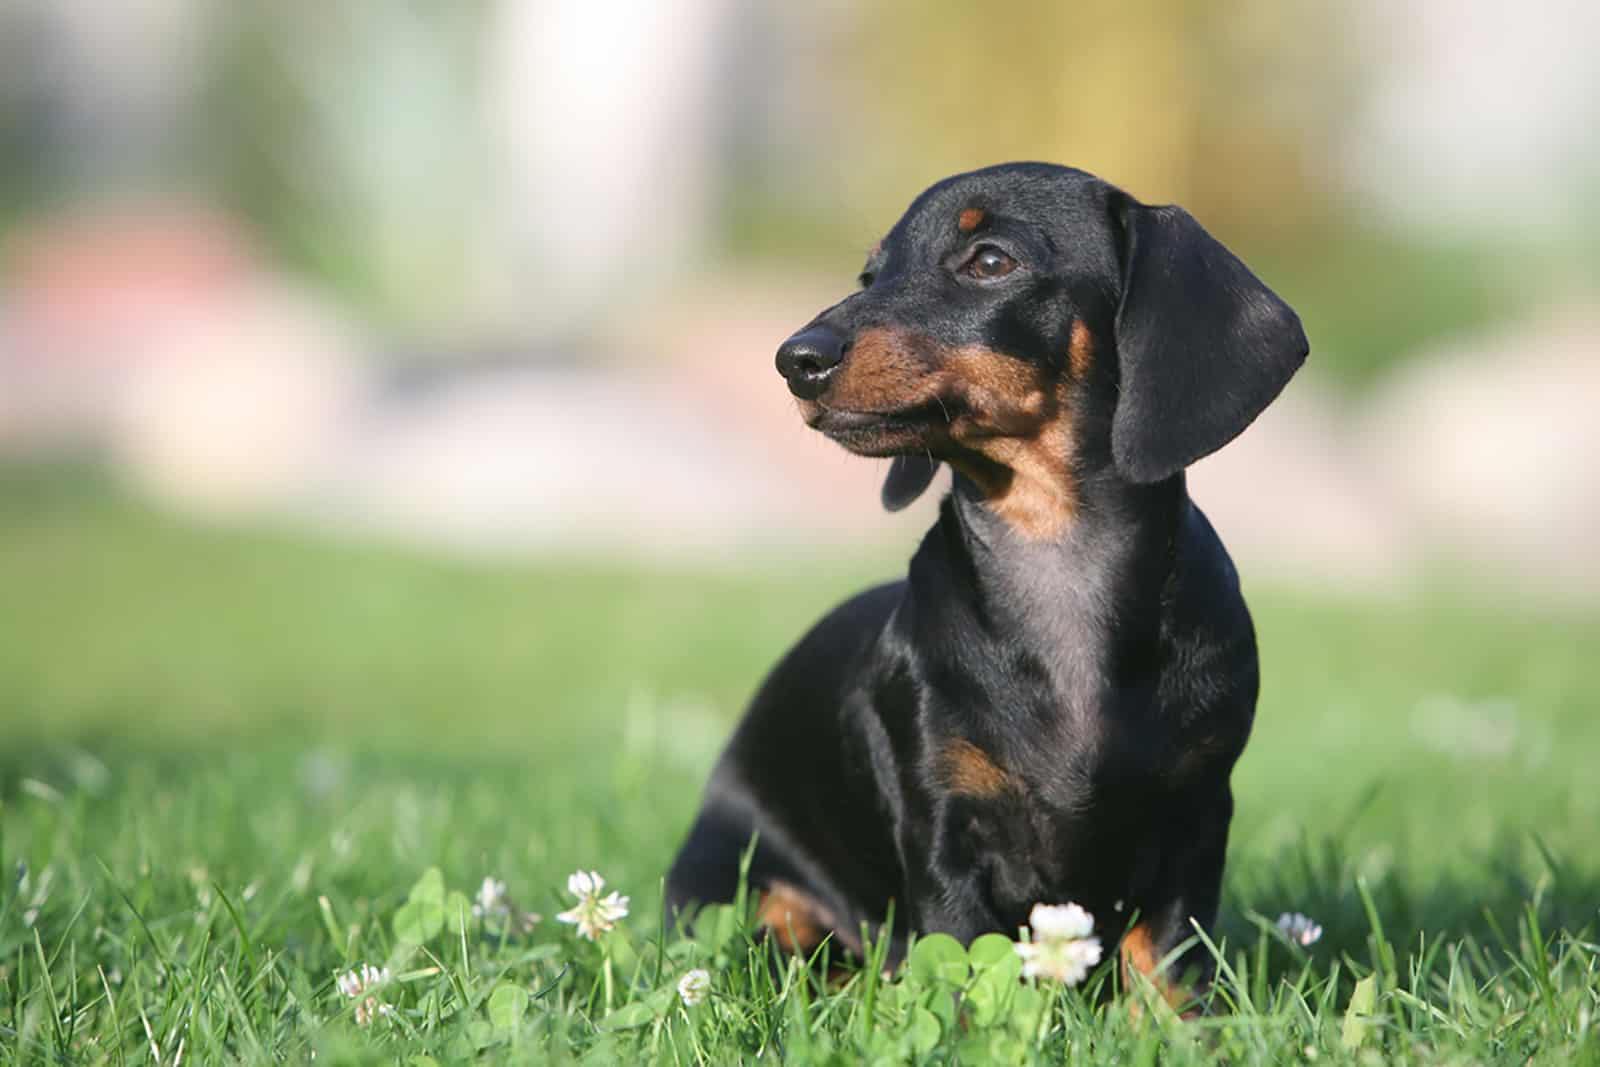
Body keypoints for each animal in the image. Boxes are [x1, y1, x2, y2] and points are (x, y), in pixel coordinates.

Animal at [668, 163, 1305, 1004]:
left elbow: (1167, 966)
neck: (1055, 562)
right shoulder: (942, 829)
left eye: (991, 261)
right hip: (740, 888)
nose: (795, 358)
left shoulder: (1196, 816)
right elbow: (966, 958)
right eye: (871, 274)